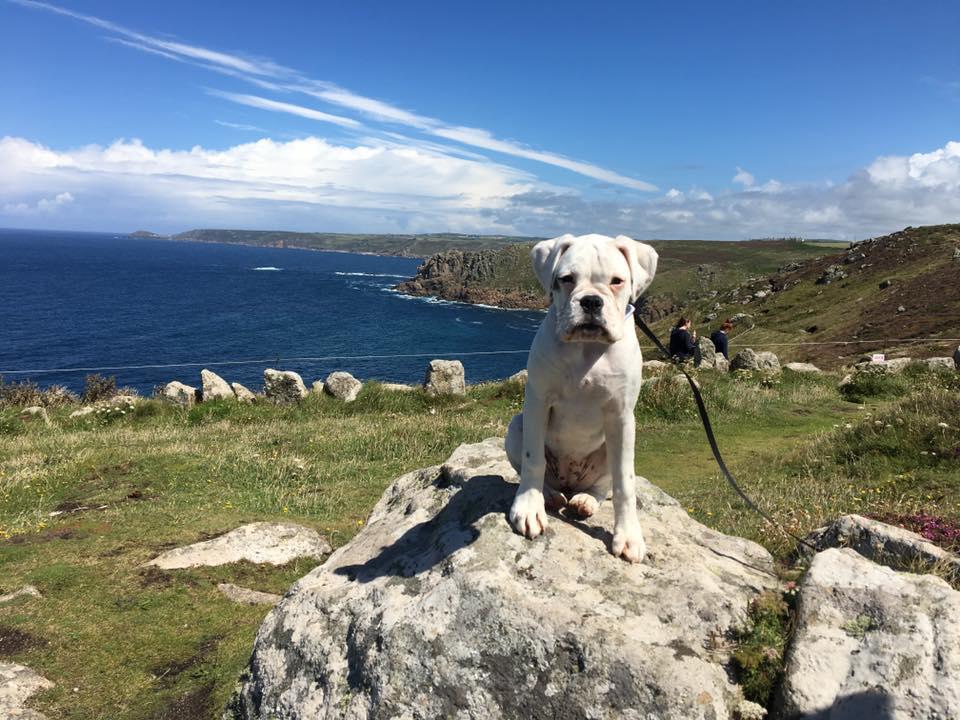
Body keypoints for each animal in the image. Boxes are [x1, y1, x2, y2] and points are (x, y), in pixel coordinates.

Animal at [506, 233, 656, 564]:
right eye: (567, 279)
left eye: (617, 281)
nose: (590, 301)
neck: (586, 349)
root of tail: (570, 482)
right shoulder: (537, 401)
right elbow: (533, 460)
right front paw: (529, 508)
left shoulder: (622, 416)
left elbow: (625, 482)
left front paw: (628, 535)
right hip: (516, 426)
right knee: (539, 472)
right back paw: (549, 495)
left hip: (609, 448)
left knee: (603, 485)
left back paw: (586, 500)